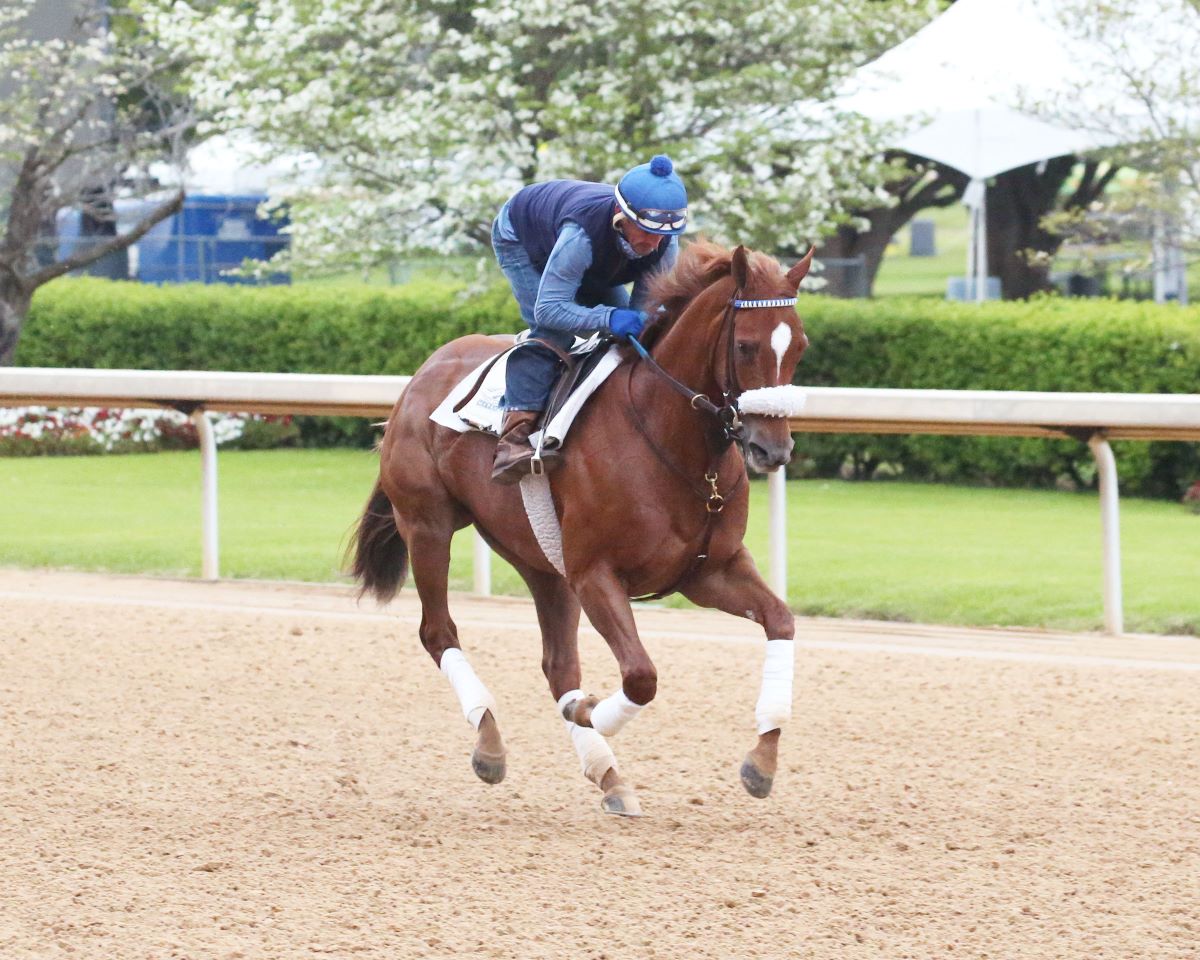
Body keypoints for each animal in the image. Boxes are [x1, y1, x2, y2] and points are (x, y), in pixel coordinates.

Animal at [350, 242, 811, 816]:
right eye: (746, 346)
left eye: (800, 346)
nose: (773, 450)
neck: (669, 439)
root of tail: (421, 374)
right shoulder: (595, 573)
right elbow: (641, 676)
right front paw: (587, 709)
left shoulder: (710, 571)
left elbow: (781, 621)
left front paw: (762, 761)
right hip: (427, 524)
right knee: (439, 632)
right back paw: (490, 744)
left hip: (542, 560)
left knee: (558, 665)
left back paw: (607, 773)